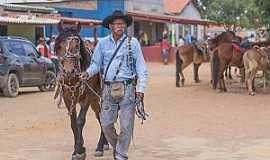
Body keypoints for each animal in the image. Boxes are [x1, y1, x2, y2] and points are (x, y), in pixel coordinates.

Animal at [53, 23, 108, 159]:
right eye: (59, 46)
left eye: (77, 46)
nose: (68, 71)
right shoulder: (68, 98)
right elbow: (73, 123)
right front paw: (79, 148)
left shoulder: (87, 97)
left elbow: (80, 121)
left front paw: (79, 150)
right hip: (94, 101)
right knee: (99, 116)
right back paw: (105, 143)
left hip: (98, 98)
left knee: (103, 116)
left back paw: (100, 146)